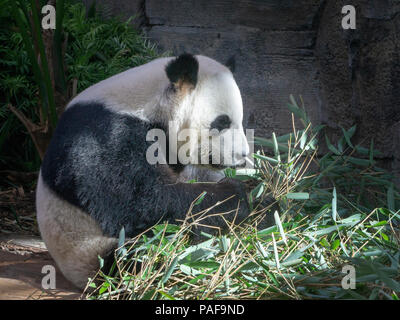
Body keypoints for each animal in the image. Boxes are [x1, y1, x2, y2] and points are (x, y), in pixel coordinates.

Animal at [36, 53, 264, 288]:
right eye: (221, 122)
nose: (242, 155)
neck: (147, 104)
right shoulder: (104, 132)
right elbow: (136, 199)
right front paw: (233, 195)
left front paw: (259, 194)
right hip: (88, 248)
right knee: (145, 250)